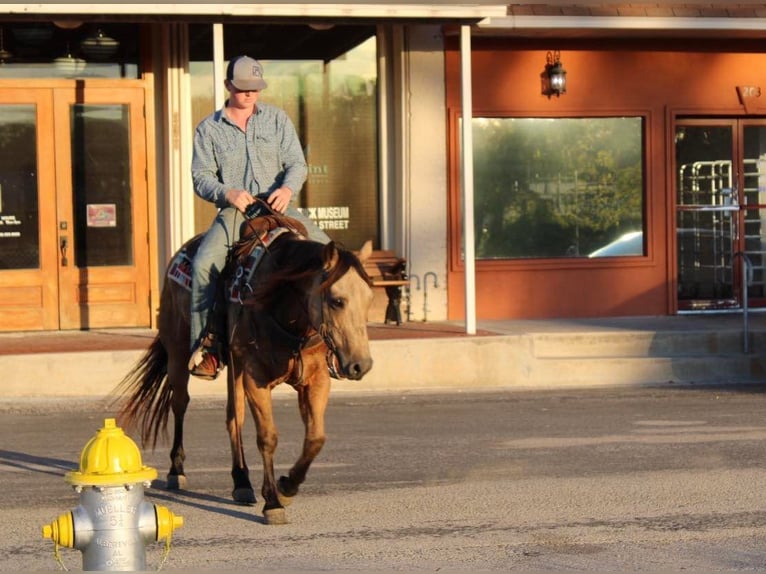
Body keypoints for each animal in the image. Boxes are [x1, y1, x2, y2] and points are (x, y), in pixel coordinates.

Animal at [113, 207, 376, 528]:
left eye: (369, 299)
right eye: (337, 300)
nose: (360, 365)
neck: (280, 303)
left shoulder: (315, 380)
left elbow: (315, 438)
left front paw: (287, 486)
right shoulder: (256, 378)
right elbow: (267, 437)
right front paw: (273, 502)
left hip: (234, 367)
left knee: (233, 418)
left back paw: (241, 481)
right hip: (178, 353)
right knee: (181, 404)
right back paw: (178, 470)